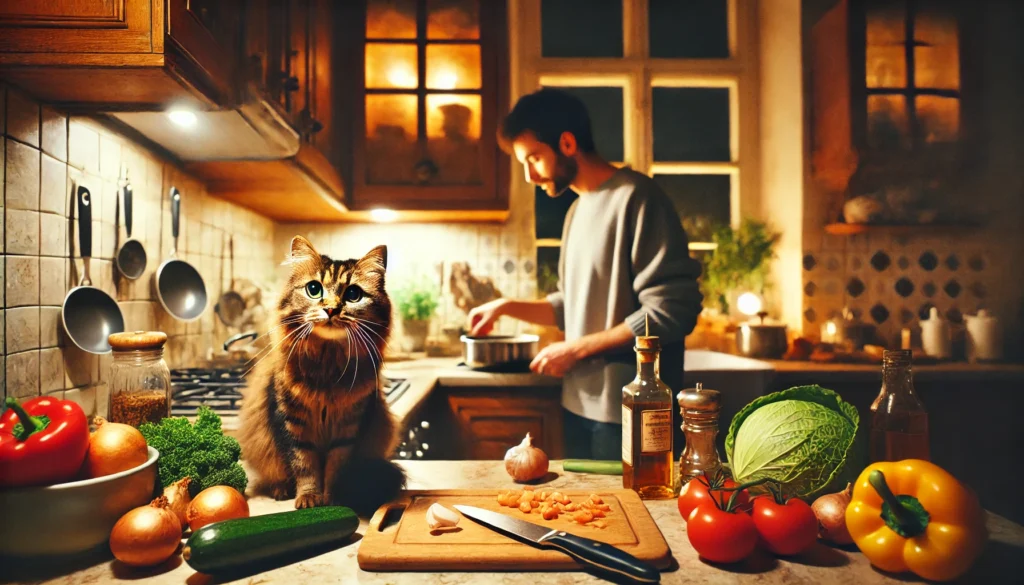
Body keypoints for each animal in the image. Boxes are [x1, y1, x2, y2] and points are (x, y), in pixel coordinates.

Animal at [239, 235, 403, 514]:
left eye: (353, 294)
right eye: (314, 289)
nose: (331, 309)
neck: (327, 367)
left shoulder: (347, 427)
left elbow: (335, 468)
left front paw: (333, 498)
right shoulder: (293, 424)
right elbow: (304, 466)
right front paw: (308, 499)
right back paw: (281, 490)